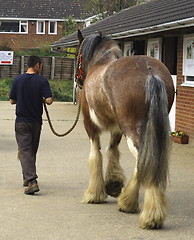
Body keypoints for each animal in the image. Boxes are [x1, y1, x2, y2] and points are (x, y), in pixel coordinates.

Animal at [77, 31, 174, 230]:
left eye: (78, 55)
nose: (78, 81)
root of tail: (150, 71)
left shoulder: (90, 125)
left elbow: (96, 155)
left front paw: (94, 194)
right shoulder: (117, 129)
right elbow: (112, 151)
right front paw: (113, 184)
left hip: (132, 130)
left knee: (144, 160)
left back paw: (146, 213)